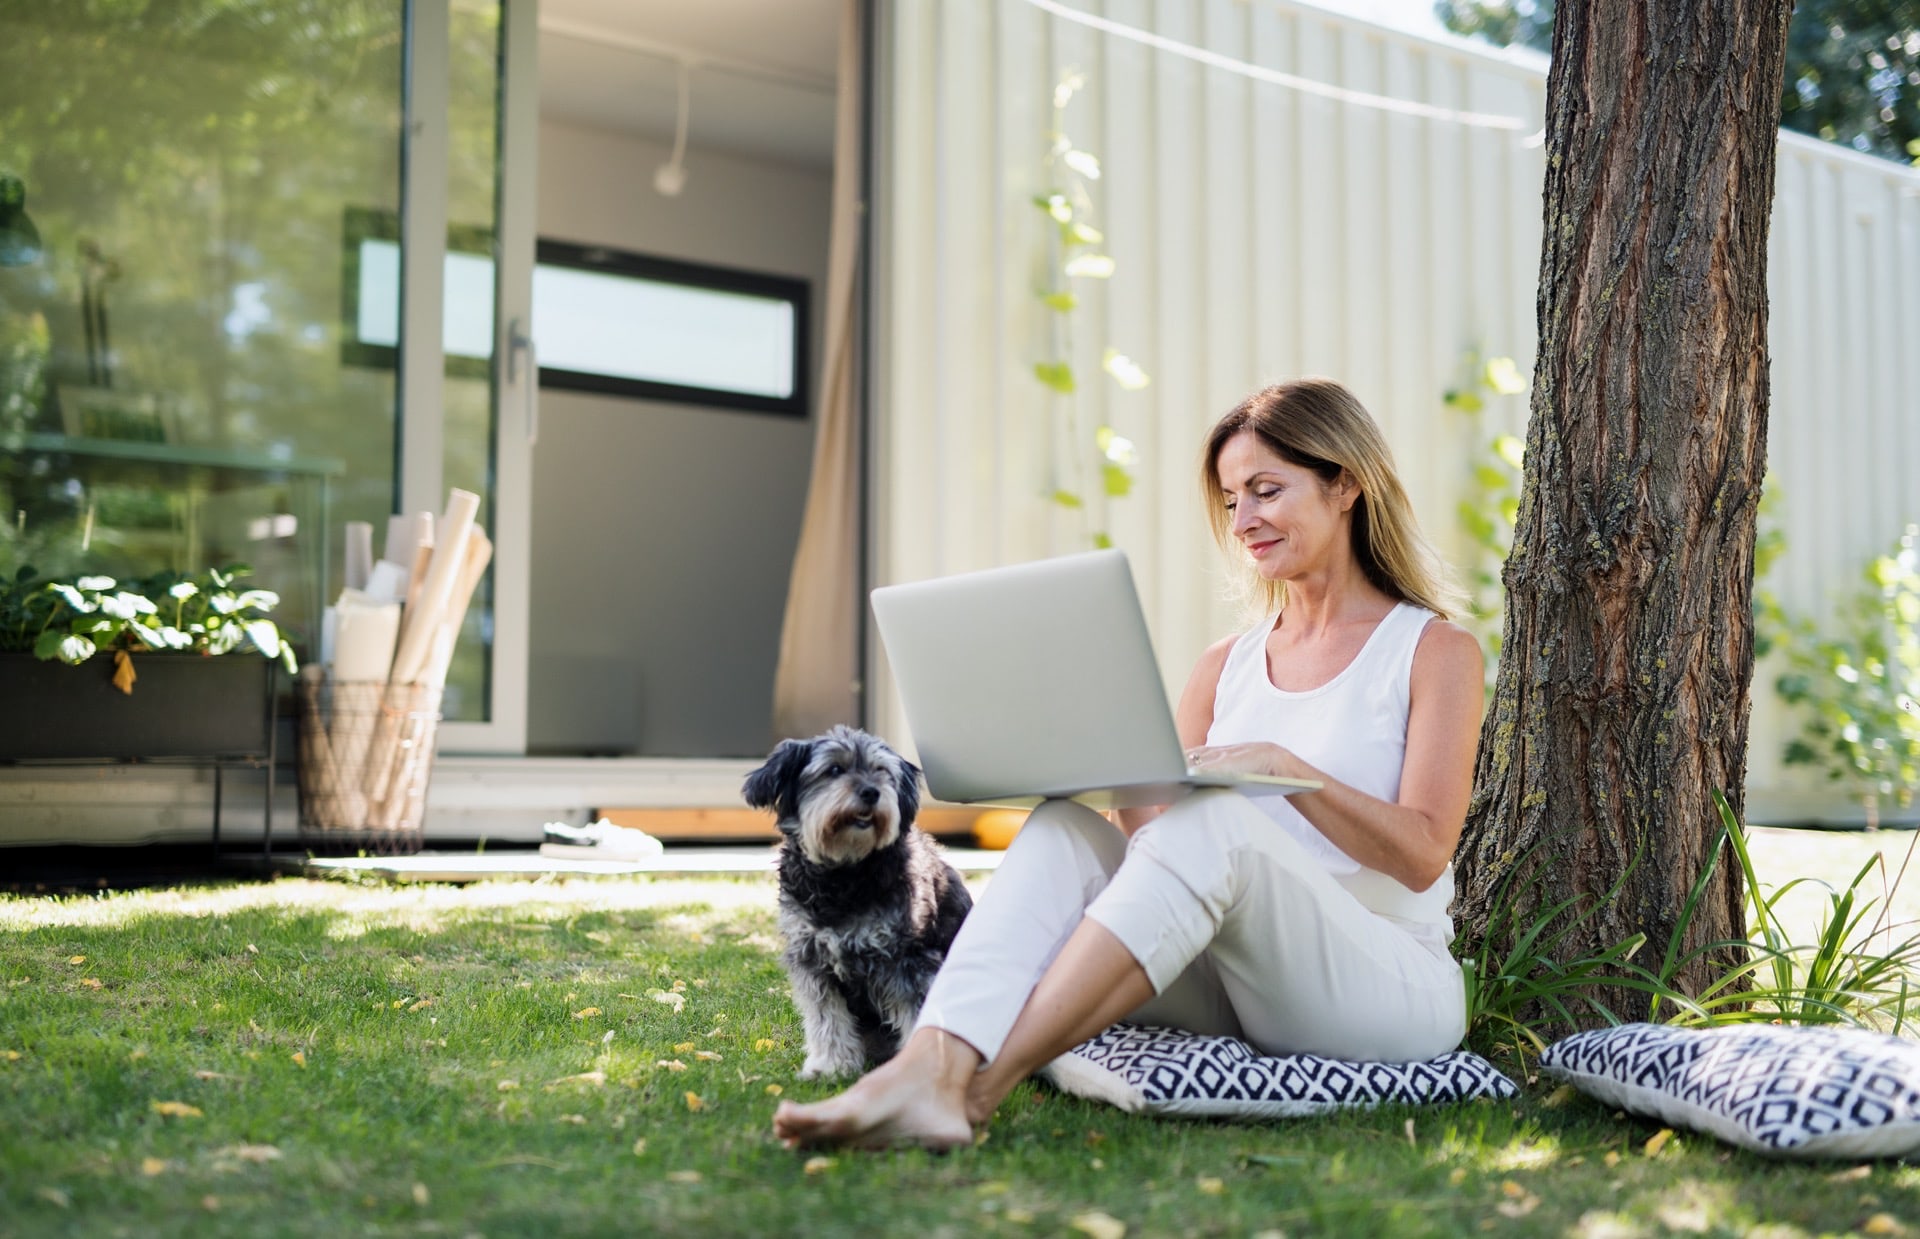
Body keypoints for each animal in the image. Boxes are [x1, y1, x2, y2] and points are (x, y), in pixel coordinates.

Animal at [737, 726, 967, 1075]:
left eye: (881, 770)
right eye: (834, 769)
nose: (872, 792)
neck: (844, 874)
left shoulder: (908, 960)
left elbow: (916, 1016)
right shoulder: (813, 960)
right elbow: (827, 1019)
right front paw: (831, 1065)